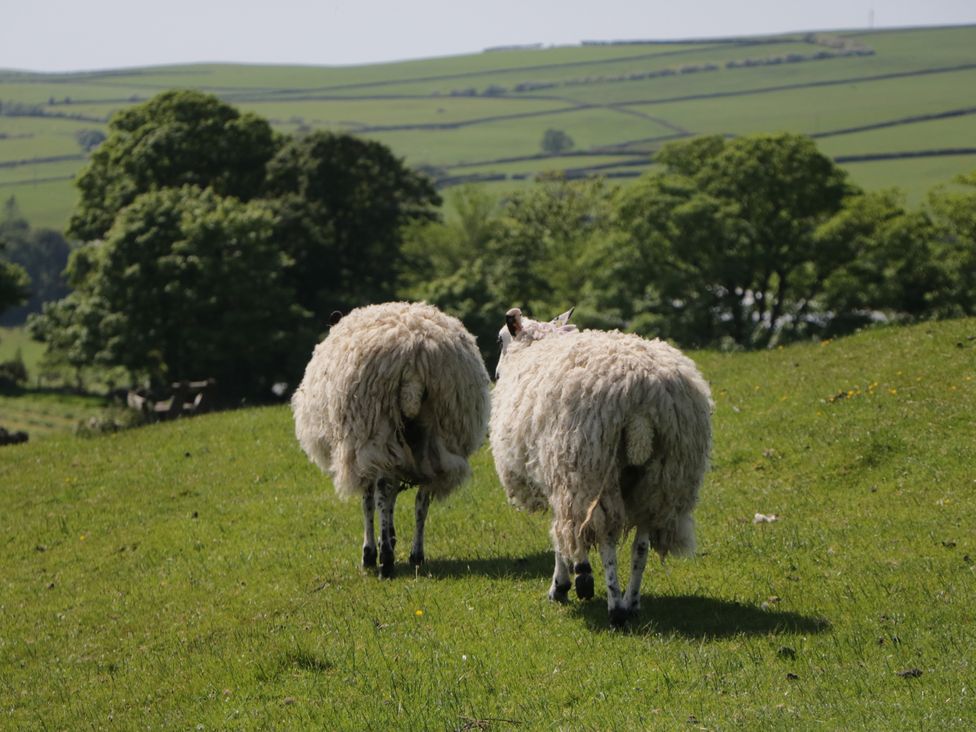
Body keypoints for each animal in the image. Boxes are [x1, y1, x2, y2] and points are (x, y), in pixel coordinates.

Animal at [292, 301, 490, 578]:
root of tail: (414, 365)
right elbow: (396, 494)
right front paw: (392, 538)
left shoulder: (361, 451)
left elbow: (369, 500)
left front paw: (370, 552)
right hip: (439, 434)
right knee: (423, 497)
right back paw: (416, 554)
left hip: (375, 431)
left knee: (383, 491)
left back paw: (385, 559)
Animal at [490, 308, 712, 626]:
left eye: (500, 339)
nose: (495, 375)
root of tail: (643, 400)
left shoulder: (561, 475)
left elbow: (561, 534)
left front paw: (567, 583)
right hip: (662, 479)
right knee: (641, 546)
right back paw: (632, 602)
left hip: (592, 467)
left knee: (607, 537)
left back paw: (615, 607)